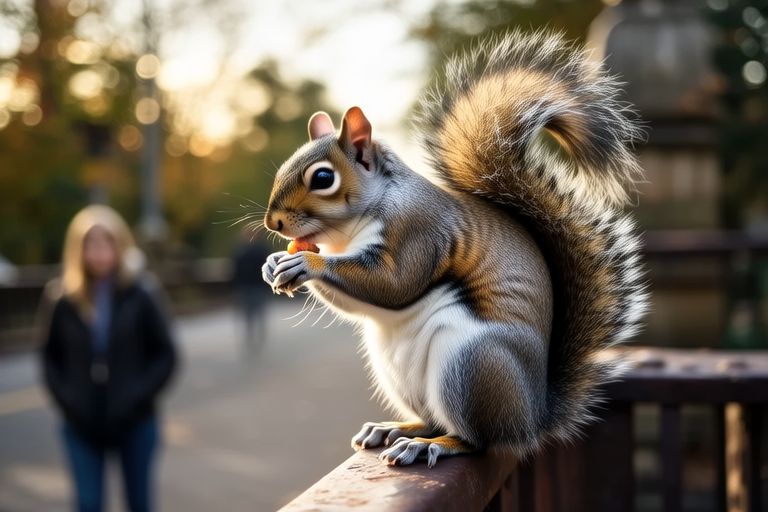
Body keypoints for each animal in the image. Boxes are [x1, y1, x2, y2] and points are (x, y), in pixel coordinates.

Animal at [261, 30, 647, 467]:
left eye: (323, 178)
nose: (272, 223)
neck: (348, 232)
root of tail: (531, 418)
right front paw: (275, 262)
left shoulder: (418, 232)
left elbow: (395, 284)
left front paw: (306, 263)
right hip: (405, 375)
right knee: (433, 420)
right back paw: (395, 429)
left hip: (471, 366)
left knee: (476, 439)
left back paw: (427, 445)